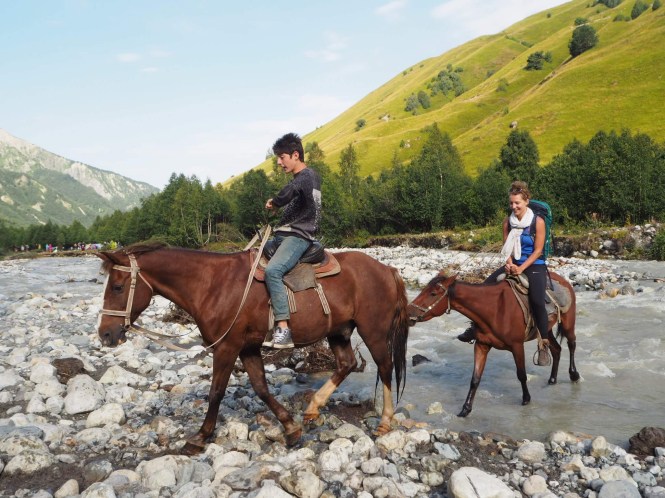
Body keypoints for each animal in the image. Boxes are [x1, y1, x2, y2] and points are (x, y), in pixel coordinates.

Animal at [96, 243, 409, 454]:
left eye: (117, 287)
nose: (105, 334)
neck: (212, 285)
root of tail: (387, 269)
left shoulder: (226, 347)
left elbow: (216, 391)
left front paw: (200, 436)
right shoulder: (247, 348)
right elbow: (260, 387)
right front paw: (291, 427)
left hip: (374, 332)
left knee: (385, 367)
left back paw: (384, 421)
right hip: (339, 332)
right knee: (346, 364)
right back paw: (312, 408)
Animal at [407, 271, 579, 417]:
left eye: (433, 294)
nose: (409, 313)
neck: (494, 310)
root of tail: (564, 280)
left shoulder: (517, 346)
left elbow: (521, 374)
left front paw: (526, 399)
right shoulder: (482, 345)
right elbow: (475, 379)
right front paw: (465, 409)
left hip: (568, 323)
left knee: (571, 344)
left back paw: (574, 375)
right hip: (546, 330)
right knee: (556, 349)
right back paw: (552, 380)